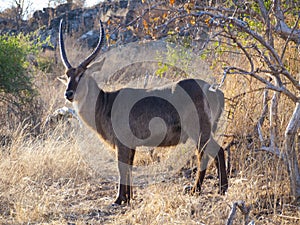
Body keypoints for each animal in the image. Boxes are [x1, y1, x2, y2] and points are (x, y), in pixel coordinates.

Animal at [58, 20, 227, 205]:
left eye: (82, 74)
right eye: (67, 75)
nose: (68, 93)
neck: (105, 103)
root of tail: (214, 89)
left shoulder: (122, 143)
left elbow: (121, 168)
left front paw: (118, 199)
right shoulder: (131, 145)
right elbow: (129, 169)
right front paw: (129, 197)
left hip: (199, 131)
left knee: (213, 152)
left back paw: (207, 189)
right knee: (213, 153)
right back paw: (213, 188)